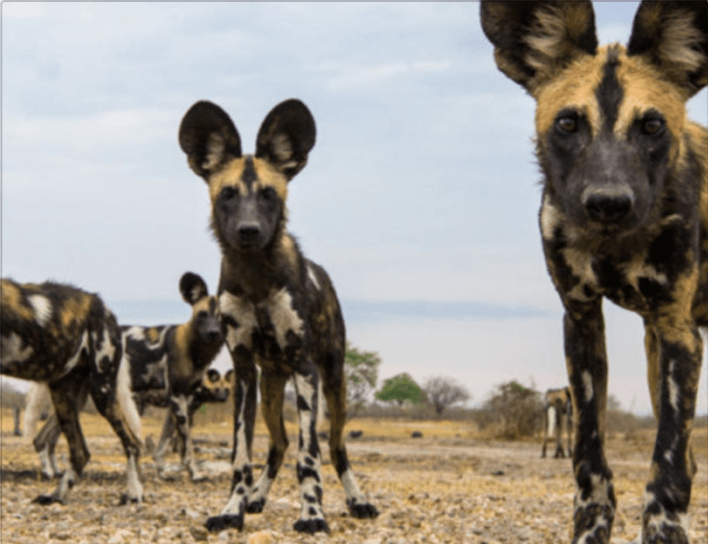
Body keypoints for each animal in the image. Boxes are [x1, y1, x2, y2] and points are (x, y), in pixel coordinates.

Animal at [0, 280, 144, 506]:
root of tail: (106, 312)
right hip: (64, 398)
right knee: (80, 453)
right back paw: (57, 495)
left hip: (102, 392)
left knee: (132, 444)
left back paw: (134, 493)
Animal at [177, 96, 378, 532]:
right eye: (228, 194)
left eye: (269, 194)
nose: (249, 230)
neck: (256, 278)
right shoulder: (243, 373)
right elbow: (241, 456)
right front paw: (232, 509)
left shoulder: (305, 368)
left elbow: (310, 456)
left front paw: (313, 515)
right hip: (270, 388)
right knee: (278, 444)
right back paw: (256, 498)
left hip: (334, 383)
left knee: (335, 448)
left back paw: (357, 501)